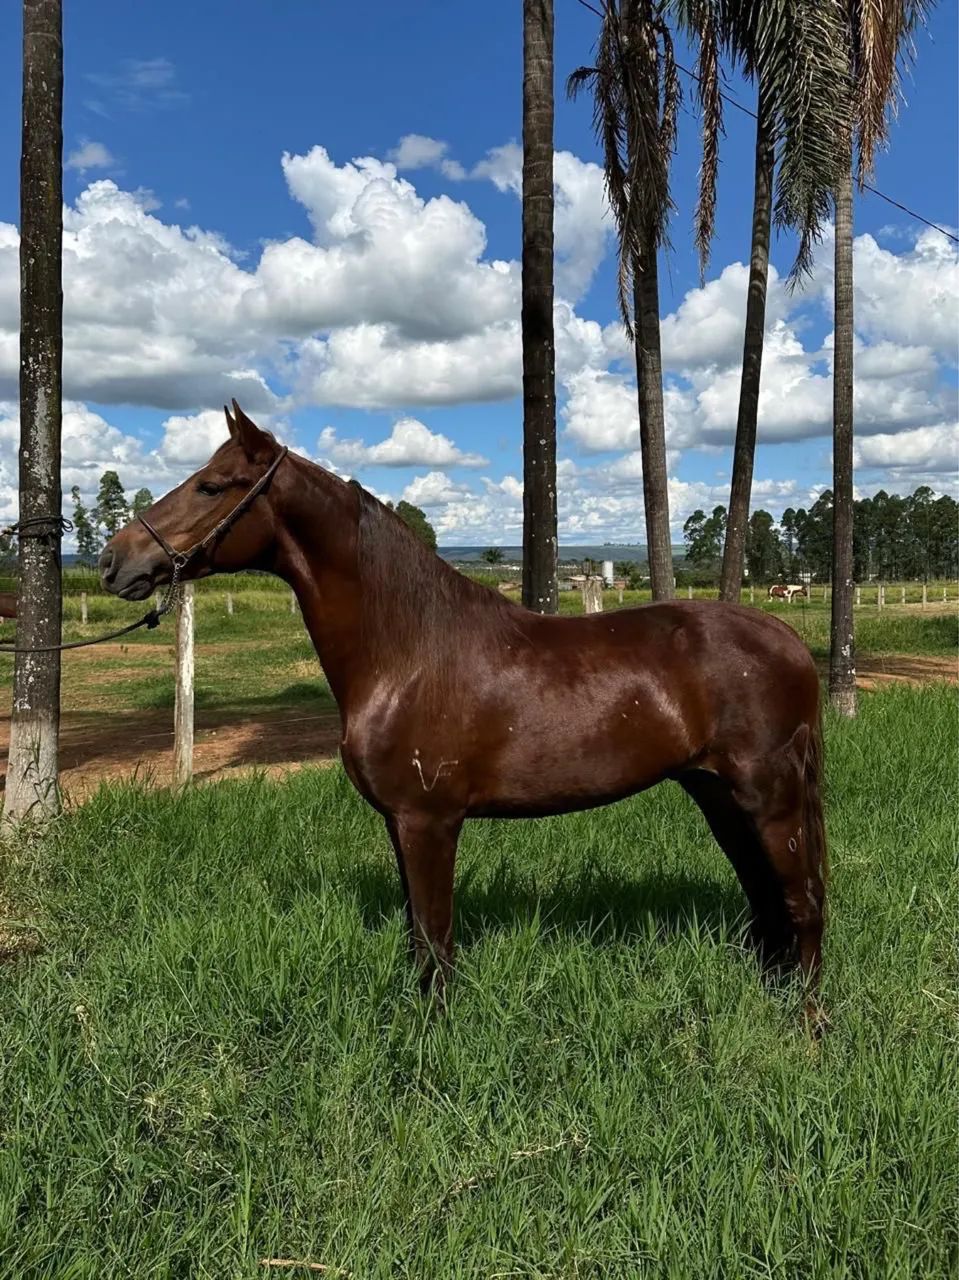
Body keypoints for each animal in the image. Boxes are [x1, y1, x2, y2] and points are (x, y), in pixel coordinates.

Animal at [99, 403, 827, 1007]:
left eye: (212, 485)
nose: (112, 561)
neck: (407, 653)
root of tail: (788, 638)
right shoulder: (399, 823)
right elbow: (418, 938)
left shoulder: (429, 821)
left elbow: (435, 941)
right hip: (717, 796)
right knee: (768, 905)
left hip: (767, 798)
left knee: (802, 906)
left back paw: (807, 1029)